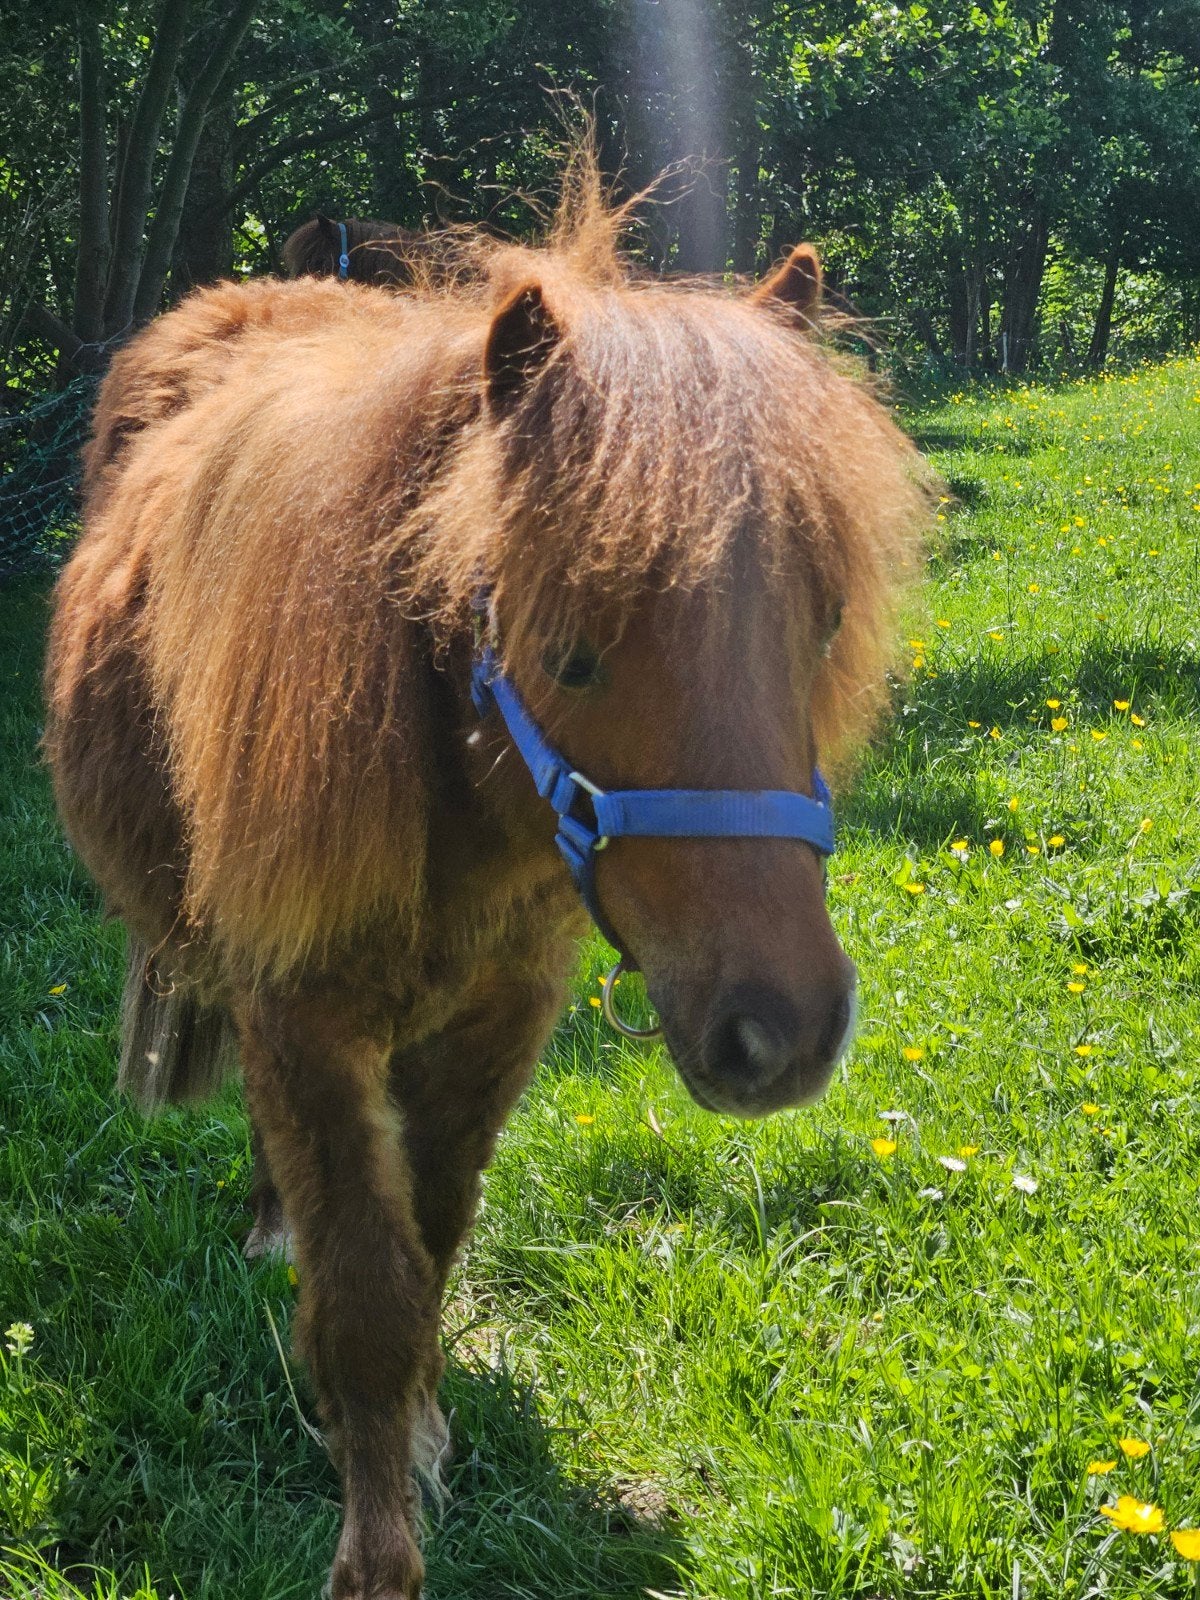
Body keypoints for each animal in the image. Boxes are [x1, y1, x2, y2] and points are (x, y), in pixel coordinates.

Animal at [43, 171, 929, 1599]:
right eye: (569, 650)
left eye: (828, 621)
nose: (782, 1029)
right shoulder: (301, 1010)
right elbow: (367, 1291)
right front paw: (376, 1541)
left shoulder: (500, 1017)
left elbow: (434, 1236)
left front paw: (417, 1425)